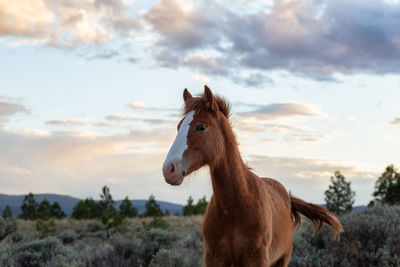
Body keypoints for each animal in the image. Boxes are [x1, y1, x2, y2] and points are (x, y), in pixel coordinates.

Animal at [161, 86, 342, 267]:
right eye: (178, 126)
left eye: (201, 127)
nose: (169, 169)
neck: (236, 206)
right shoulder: (213, 259)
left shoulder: (257, 259)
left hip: (282, 259)